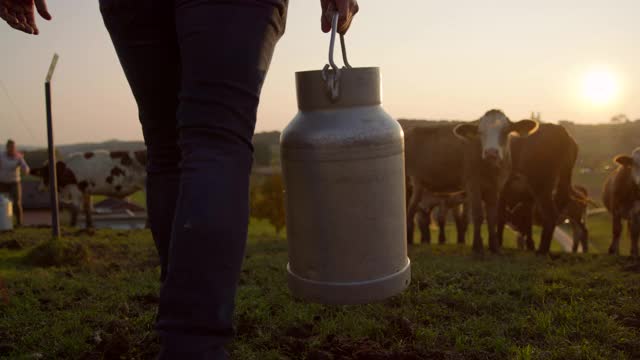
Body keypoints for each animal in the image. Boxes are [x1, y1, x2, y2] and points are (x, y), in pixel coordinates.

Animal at [404, 109, 540, 253]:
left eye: (505, 131)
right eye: (480, 132)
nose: (491, 152)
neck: (490, 169)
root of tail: (407, 131)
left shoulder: (495, 188)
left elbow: (492, 217)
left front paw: (494, 248)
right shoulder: (472, 185)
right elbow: (477, 215)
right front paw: (477, 247)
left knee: (411, 211)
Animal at [492, 122, 576, 255]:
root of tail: (560, 131)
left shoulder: (502, 192)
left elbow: (501, 216)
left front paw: (499, 242)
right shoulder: (528, 198)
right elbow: (528, 220)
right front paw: (530, 245)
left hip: (541, 186)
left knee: (550, 213)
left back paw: (542, 250)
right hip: (563, 179)